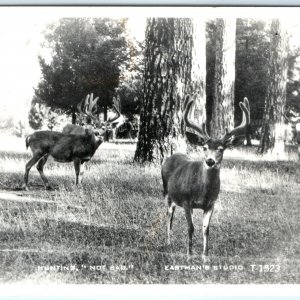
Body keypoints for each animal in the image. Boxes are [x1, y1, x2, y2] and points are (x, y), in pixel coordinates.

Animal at [162, 94, 251, 260]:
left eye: (221, 149)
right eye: (204, 147)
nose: (210, 161)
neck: (203, 191)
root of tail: (170, 156)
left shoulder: (211, 204)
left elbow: (206, 229)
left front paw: (205, 256)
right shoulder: (186, 201)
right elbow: (190, 228)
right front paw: (189, 255)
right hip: (167, 193)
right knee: (169, 216)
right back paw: (168, 243)